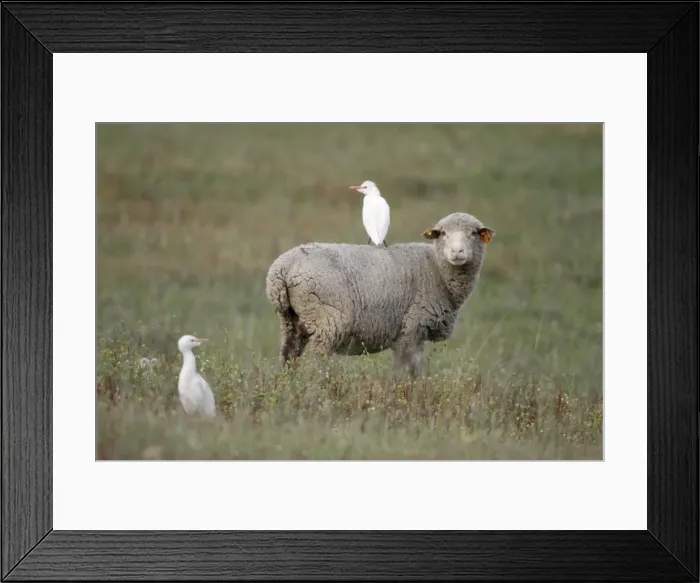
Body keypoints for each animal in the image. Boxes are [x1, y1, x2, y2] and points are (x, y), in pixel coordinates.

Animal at [265, 212, 494, 377]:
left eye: (474, 233)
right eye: (443, 234)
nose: (457, 252)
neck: (436, 269)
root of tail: (282, 268)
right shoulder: (411, 329)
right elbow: (408, 372)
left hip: (290, 320)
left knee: (288, 356)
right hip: (326, 320)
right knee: (315, 362)